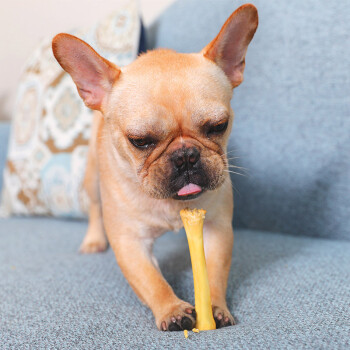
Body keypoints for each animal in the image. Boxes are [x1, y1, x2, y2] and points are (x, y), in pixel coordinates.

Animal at [52, 2, 258, 330]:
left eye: (218, 126)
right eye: (140, 141)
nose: (186, 156)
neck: (170, 206)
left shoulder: (217, 229)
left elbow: (214, 272)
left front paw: (214, 307)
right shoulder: (129, 242)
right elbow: (151, 281)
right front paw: (171, 309)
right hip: (91, 179)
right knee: (94, 209)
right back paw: (94, 240)